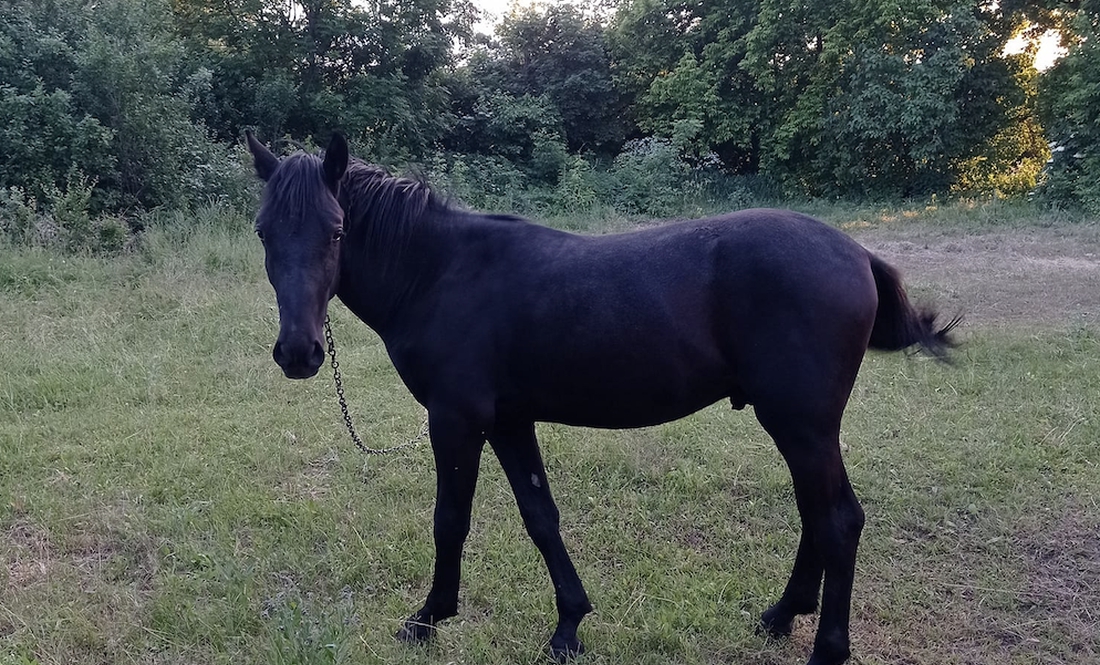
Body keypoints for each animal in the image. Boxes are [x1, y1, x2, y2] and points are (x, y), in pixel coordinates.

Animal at [245, 130, 950, 663]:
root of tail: (856, 252)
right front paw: (568, 627)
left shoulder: (455, 421)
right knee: (822, 515)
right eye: (262, 233)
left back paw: (826, 648)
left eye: (337, 231)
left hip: (801, 425)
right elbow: (540, 518)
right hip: (804, 428)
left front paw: (428, 619)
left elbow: (451, 521)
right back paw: (781, 616)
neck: (442, 273)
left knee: (836, 522)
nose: (299, 353)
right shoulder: (508, 421)